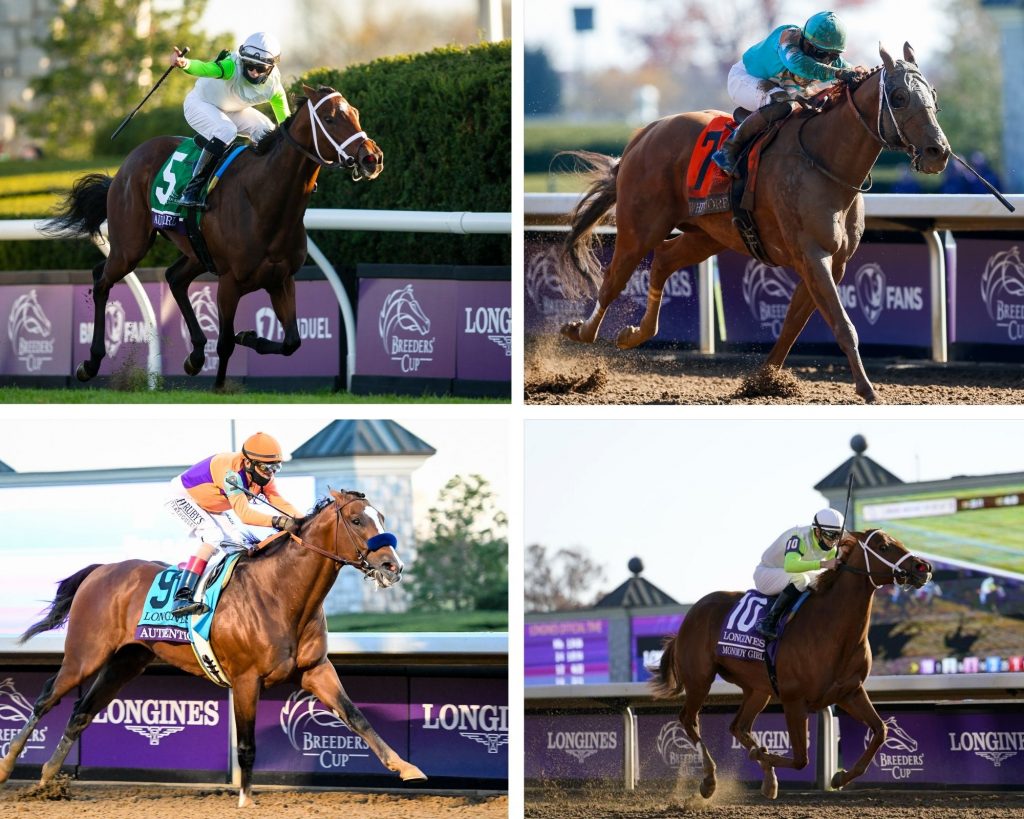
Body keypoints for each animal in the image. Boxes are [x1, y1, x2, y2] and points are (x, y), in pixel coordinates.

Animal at [0, 489, 425, 807]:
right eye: (356, 521)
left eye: (381, 516)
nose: (393, 566)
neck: (280, 593)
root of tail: (101, 570)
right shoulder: (246, 679)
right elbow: (247, 743)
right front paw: (246, 800)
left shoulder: (315, 669)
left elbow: (357, 717)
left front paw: (407, 768)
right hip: (85, 655)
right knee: (46, 700)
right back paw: (8, 767)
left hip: (125, 661)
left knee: (81, 713)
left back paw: (49, 779)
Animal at [44, 84, 383, 390]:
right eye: (329, 118)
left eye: (355, 113)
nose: (372, 158)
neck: (263, 199)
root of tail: (125, 165)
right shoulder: (230, 282)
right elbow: (225, 343)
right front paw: (219, 386)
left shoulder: (281, 279)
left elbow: (291, 342)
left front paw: (248, 336)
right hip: (131, 245)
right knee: (102, 280)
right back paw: (90, 363)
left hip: (195, 251)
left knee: (174, 278)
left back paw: (195, 355)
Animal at [556, 44, 950, 403]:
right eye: (898, 97)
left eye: (933, 94)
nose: (938, 152)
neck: (825, 160)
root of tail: (644, 133)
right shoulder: (812, 255)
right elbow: (842, 324)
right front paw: (867, 390)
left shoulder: (832, 263)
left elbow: (792, 325)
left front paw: (764, 381)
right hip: (640, 226)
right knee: (613, 280)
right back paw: (581, 332)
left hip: (709, 235)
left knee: (665, 260)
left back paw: (633, 334)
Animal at [651, 529, 932, 800]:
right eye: (883, 546)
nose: (924, 567)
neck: (831, 627)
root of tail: (691, 614)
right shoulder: (793, 699)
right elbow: (801, 759)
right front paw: (761, 756)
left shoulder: (849, 692)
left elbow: (880, 730)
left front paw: (839, 777)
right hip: (700, 679)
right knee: (689, 719)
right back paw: (710, 779)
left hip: (758, 690)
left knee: (738, 726)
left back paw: (767, 777)